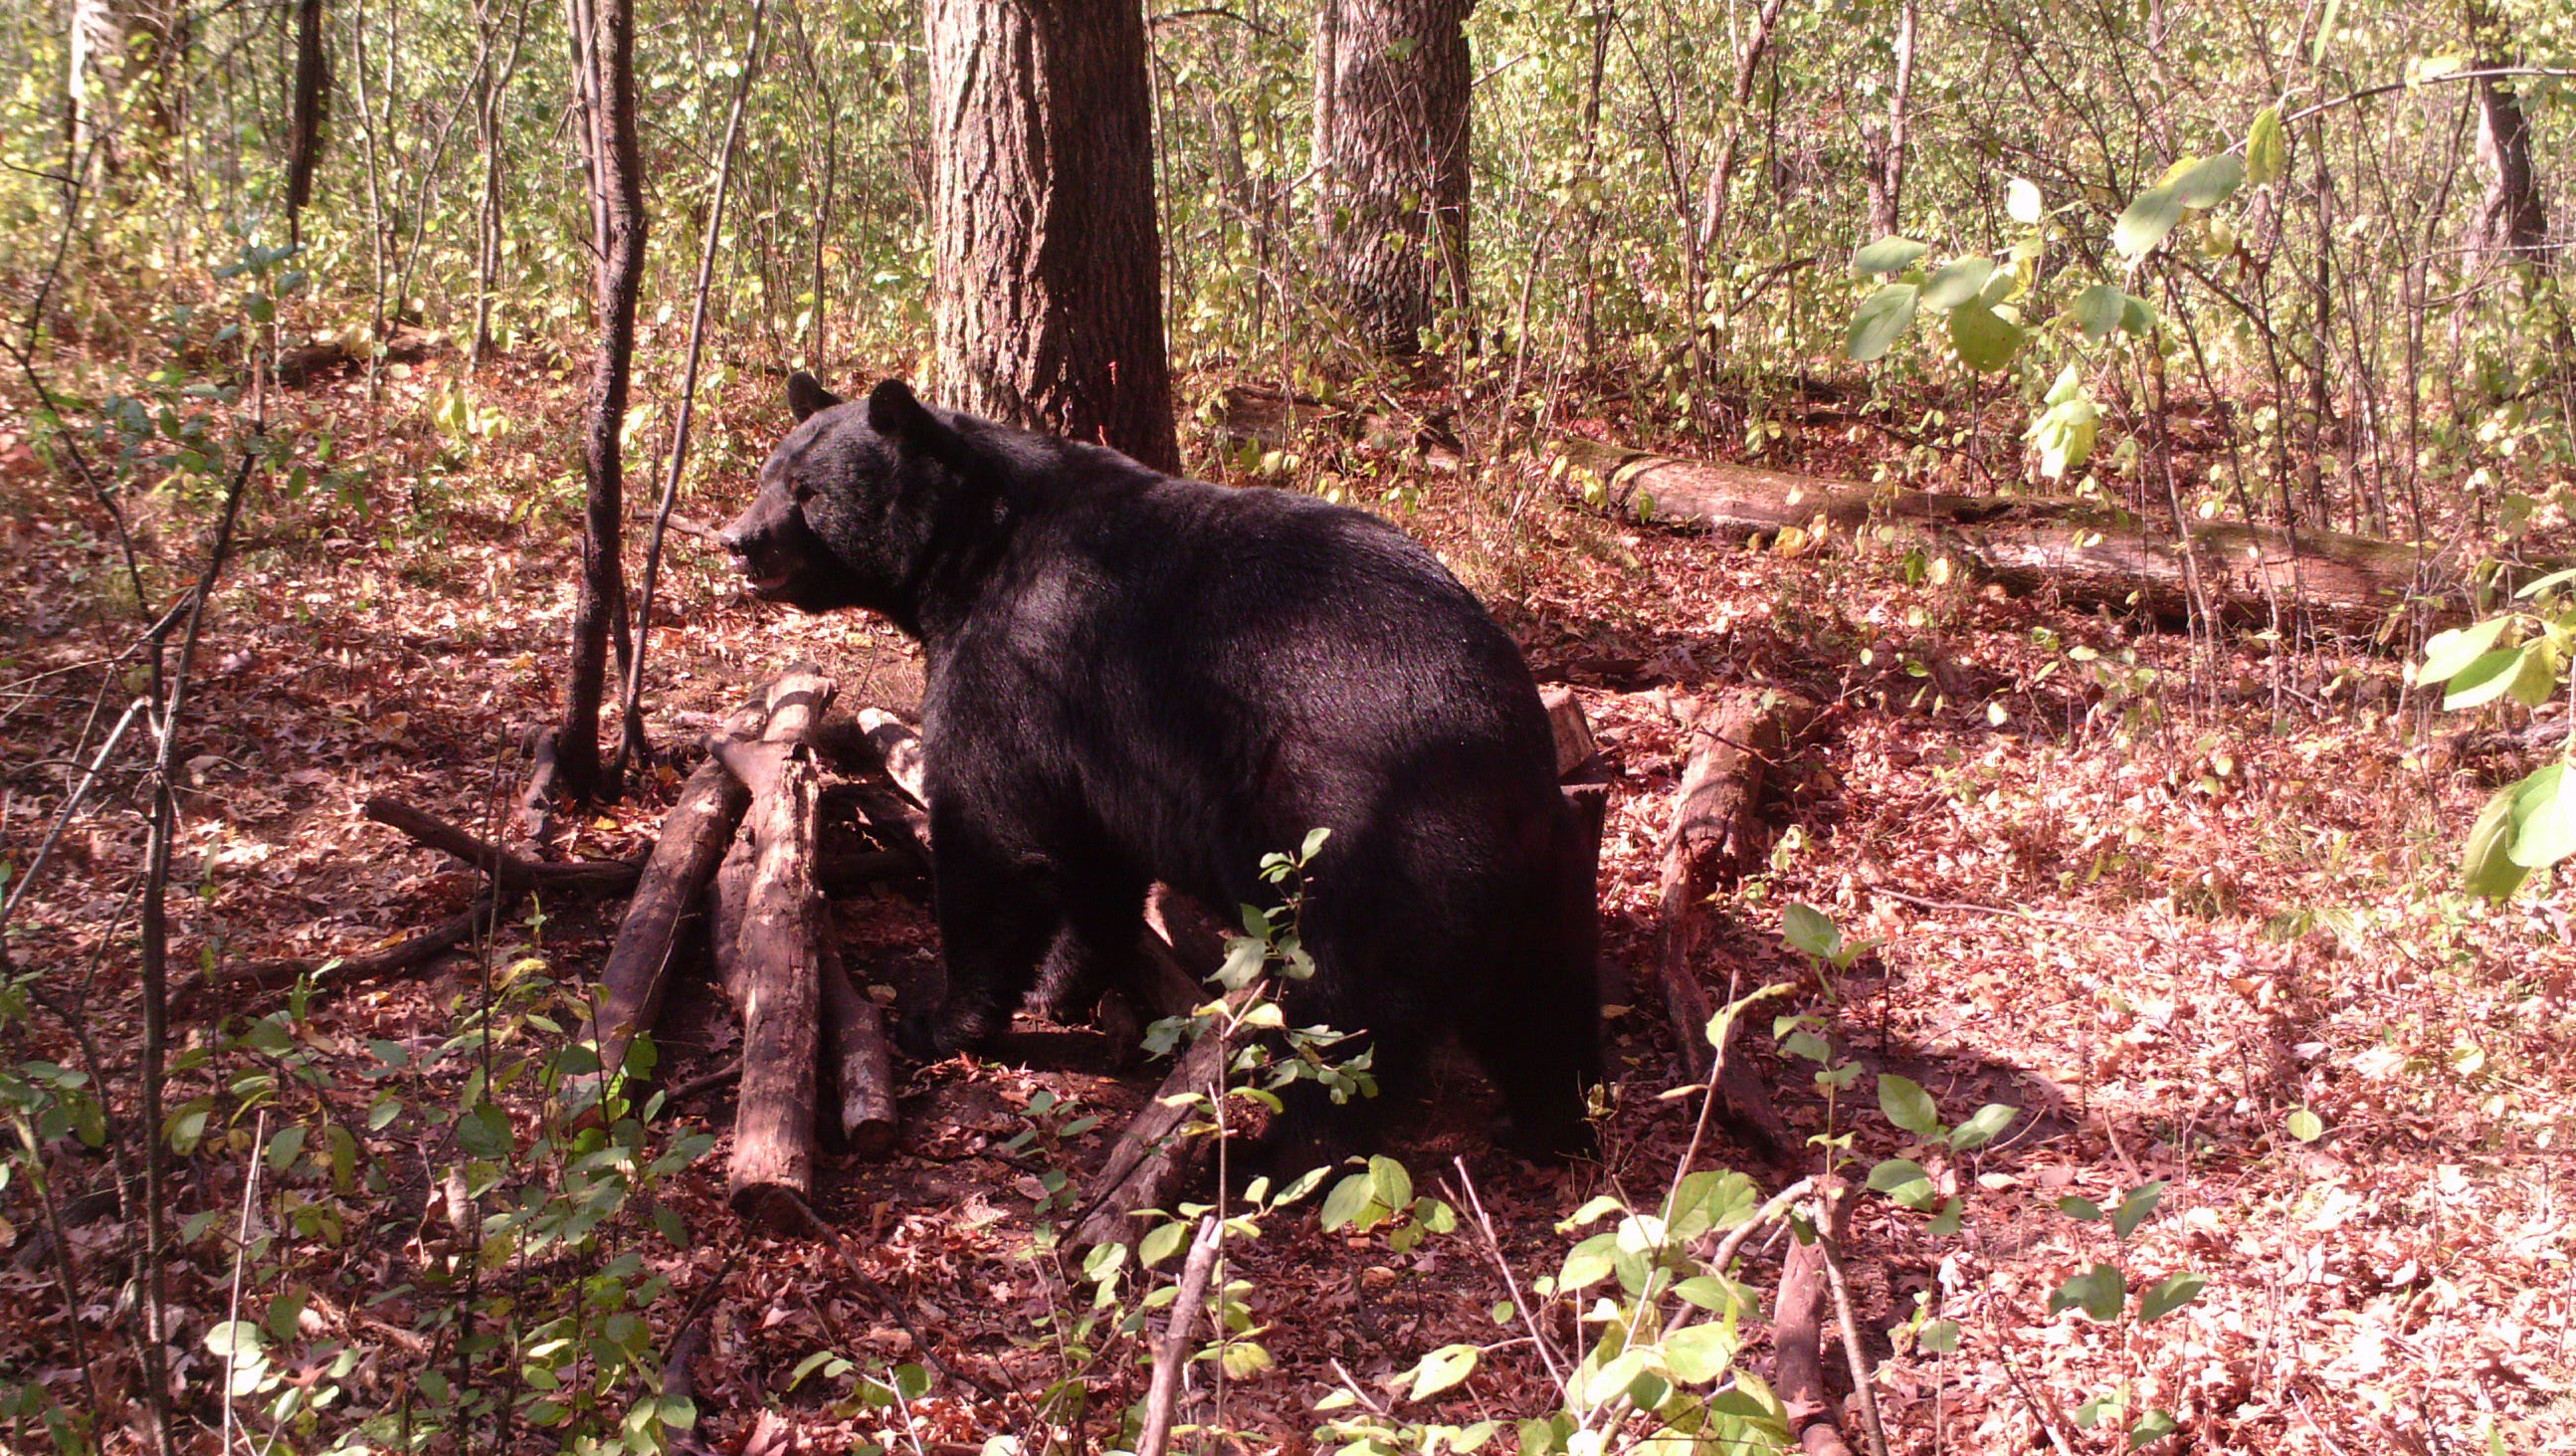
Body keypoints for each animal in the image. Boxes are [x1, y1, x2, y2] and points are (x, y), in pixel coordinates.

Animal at [726, 373, 1597, 1159]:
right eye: (767, 472)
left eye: (807, 492)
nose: (738, 539)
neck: (971, 552)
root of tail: (1500, 746)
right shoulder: (1098, 750)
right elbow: (1091, 865)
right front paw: (1060, 984)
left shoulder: (1014, 668)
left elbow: (995, 836)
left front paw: (939, 1017)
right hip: (1534, 870)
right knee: (1538, 999)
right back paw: (1543, 1124)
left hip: (1360, 837)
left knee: (1348, 1011)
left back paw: (1281, 1148)